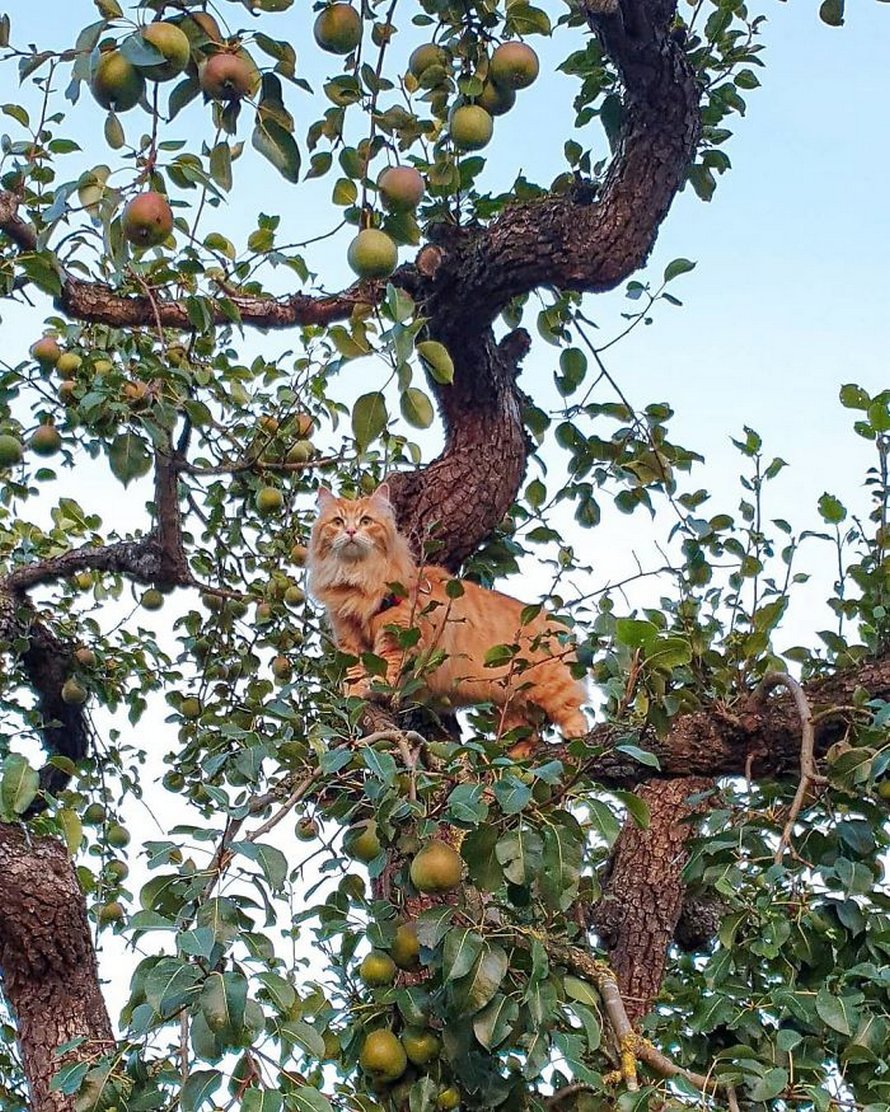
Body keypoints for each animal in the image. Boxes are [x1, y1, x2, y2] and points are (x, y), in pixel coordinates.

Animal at [307, 484, 591, 738]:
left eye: (366, 521)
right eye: (337, 522)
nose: (351, 531)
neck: (358, 580)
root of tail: (551, 621)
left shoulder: (397, 635)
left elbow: (387, 670)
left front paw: (377, 690)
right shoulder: (349, 639)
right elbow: (354, 673)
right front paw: (354, 695)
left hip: (548, 684)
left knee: (573, 706)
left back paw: (576, 734)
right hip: (509, 706)